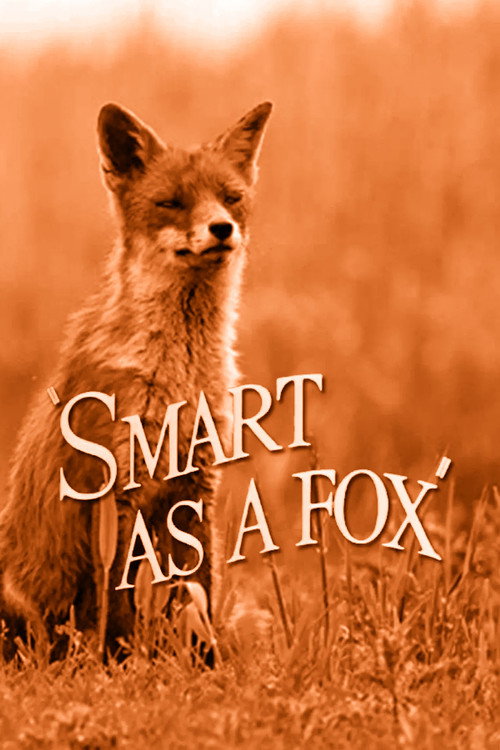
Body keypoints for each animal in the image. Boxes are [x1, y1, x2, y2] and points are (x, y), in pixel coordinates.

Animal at [0, 100, 272, 652]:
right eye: (171, 202)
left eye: (231, 199)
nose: (221, 228)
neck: (180, 378)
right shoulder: (115, 487)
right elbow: (120, 600)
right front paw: (120, 662)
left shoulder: (196, 482)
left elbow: (198, 590)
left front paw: (202, 661)